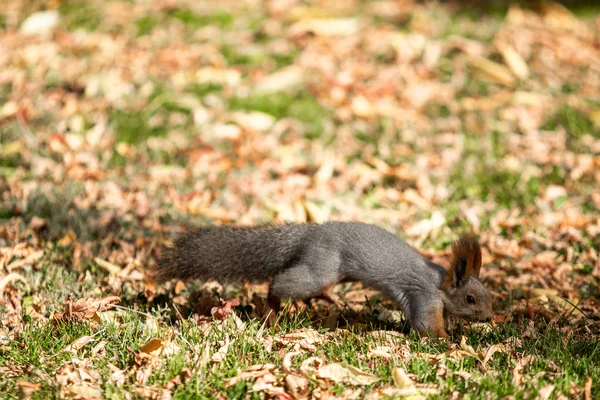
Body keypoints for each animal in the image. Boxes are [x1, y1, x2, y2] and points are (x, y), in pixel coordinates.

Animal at [154, 220, 492, 336]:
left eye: (487, 295)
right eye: (470, 298)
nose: (490, 318)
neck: (441, 286)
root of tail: (309, 233)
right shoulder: (424, 296)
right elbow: (426, 327)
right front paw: (451, 344)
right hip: (322, 268)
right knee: (280, 283)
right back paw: (272, 308)